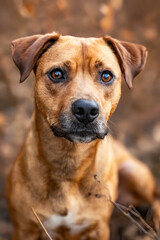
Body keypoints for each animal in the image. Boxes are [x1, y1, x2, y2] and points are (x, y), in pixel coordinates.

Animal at [6, 32, 160, 240]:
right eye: (56, 74)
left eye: (106, 76)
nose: (86, 109)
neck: (69, 159)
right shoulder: (24, 229)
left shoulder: (98, 229)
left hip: (134, 171)